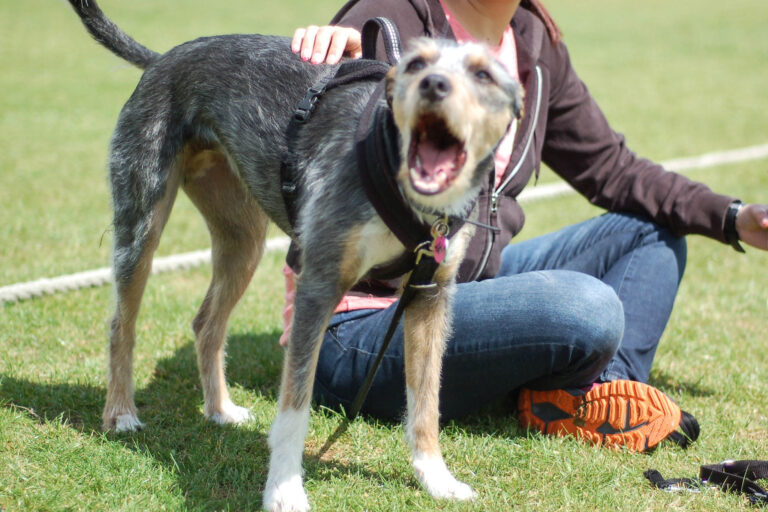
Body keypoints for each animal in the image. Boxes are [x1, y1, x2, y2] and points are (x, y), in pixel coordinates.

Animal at [67, 2, 520, 510]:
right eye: (415, 64)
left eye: (483, 74)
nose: (434, 86)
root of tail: (162, 59)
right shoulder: (318, 286)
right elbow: (294, 407)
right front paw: (284, 490)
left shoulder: (430, 293)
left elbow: (426, 402)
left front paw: (436, 478)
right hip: (142, 217)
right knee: (120, 324)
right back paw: (121, 413)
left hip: (243, 240)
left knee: (207, 323)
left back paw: (219, 410)